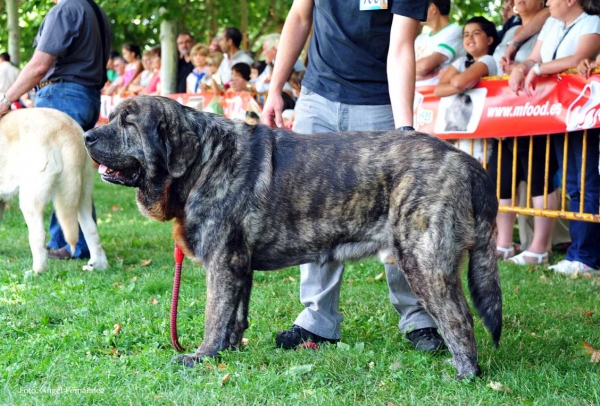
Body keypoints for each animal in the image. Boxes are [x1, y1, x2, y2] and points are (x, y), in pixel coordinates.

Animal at [0, 107, 108, 272]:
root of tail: (65, 128)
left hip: (29, 199)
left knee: (39, 236)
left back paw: (36, 271)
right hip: (81, 195)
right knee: (91, 229)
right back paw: (98, 266)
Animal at [84, 96, 502, 380]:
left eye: (128, 123)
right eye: (113, 117)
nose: (87, 135)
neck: (203, 159)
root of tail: (466, 161)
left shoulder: (222, 263)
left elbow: (214, 315)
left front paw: (202, 355)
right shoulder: (239, 265)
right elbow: (235, 315)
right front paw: (228, 351)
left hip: (423, 261)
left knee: (458, 317)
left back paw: (464, 372)